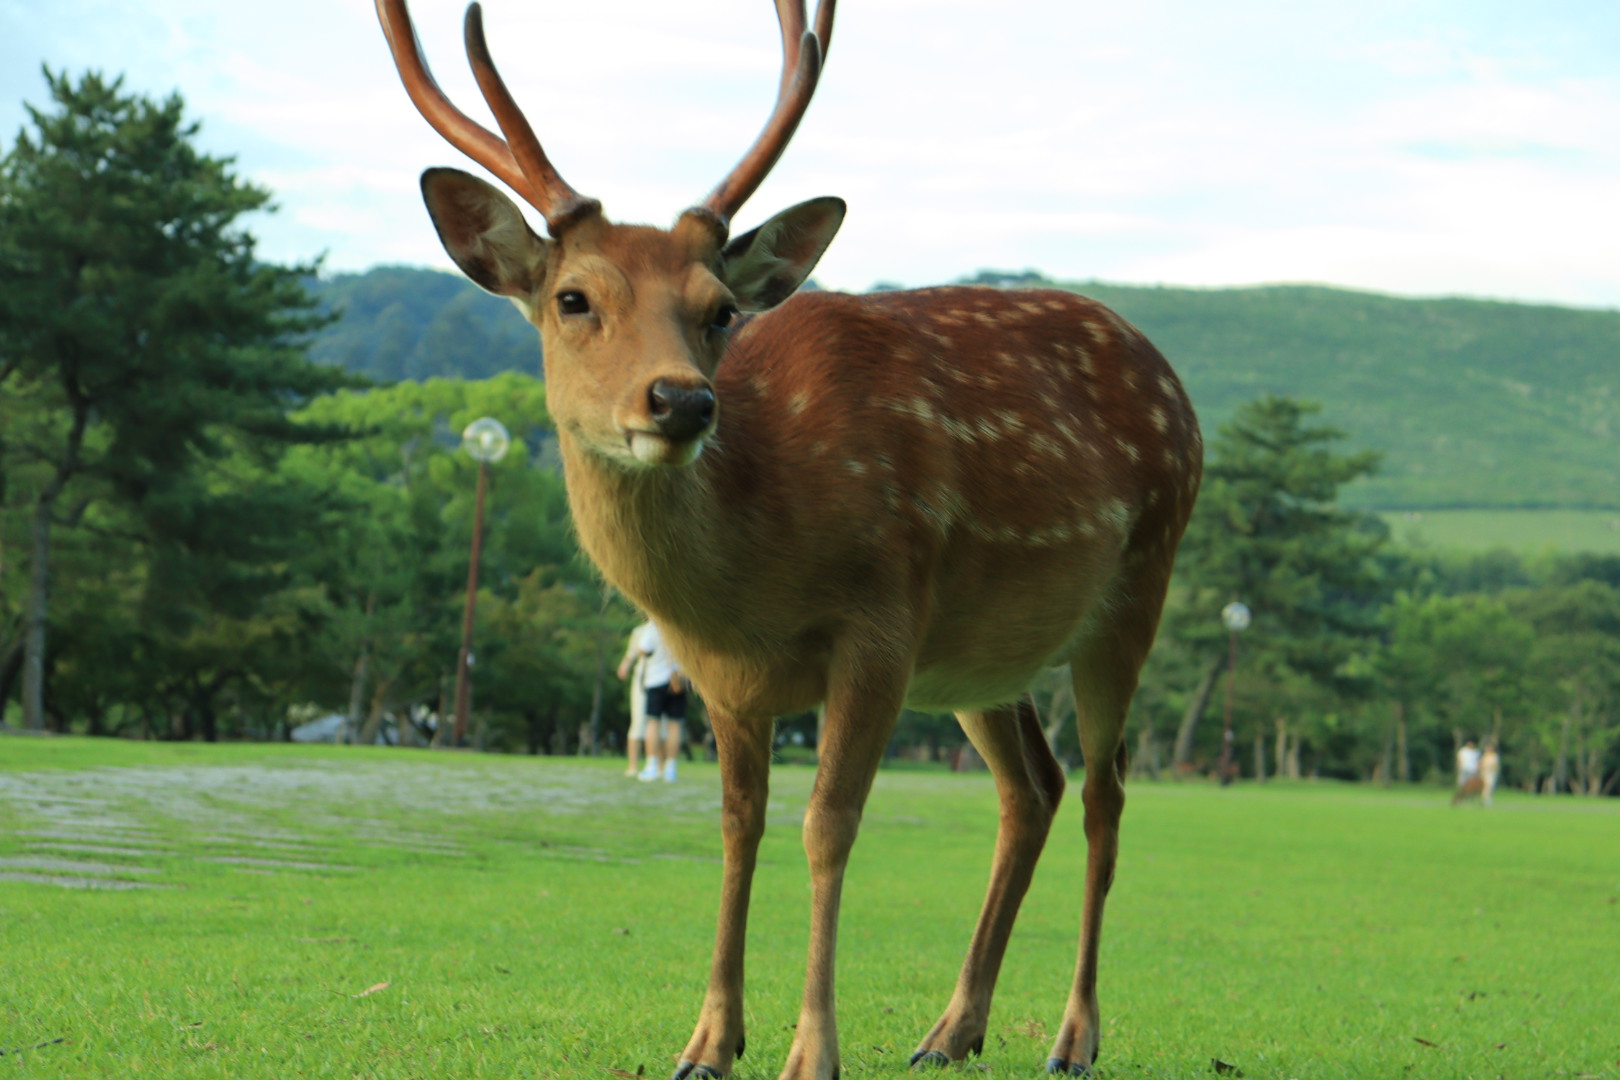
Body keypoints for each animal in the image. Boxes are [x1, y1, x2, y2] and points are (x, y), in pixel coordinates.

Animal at [374, 1, 1202, 1077]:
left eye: (719, 309)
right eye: (573, 298)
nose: (681, 400)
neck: (753, 581)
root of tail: (1177, 389)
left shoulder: (882, 622)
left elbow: (828, 826)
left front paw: (812, 1050)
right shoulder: (719, 674)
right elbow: (738, 826)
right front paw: (708, 1040)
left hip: (1138, 584)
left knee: (1106, 793)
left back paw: (1073, 1035)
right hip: (982, 661)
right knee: (1034, 788)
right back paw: (953, 1029)